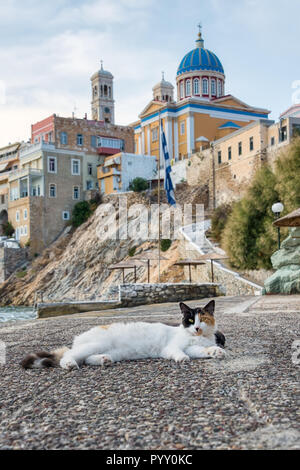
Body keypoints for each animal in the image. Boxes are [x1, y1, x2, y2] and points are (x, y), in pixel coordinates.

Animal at [20, 302, 225, 370]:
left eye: (202, 319)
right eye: (190, 320)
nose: (197, 328)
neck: (197, 337)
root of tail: (78, 338)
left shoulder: (194, 347)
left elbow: (203, 350)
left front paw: (216, 352)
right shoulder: (172, 346)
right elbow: (178, 352)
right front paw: (182, 359)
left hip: (109, 351)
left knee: (86, 359)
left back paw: (104, 360)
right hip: (94, 344)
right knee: (69, 356)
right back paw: (70, 364)